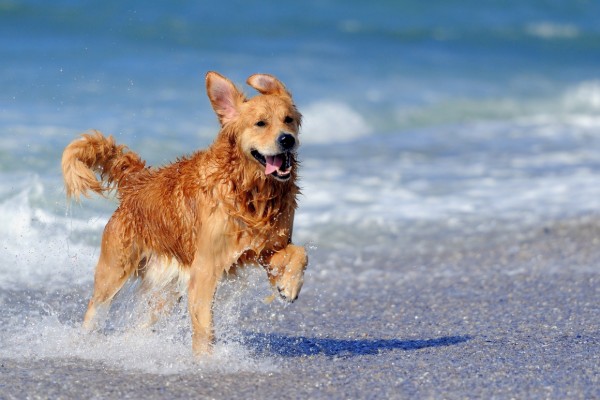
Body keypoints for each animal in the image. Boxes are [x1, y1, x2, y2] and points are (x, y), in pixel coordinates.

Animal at [62, 72, 308, 356]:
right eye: (260, 123)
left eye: (288, 120)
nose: (287, 139)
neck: (249, 190)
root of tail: (138, 182)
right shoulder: (206, 267)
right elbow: (204, 325)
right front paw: (205, 359)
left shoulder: (266, 248)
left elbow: (300, 253)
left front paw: (289, 286)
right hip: (114, 271)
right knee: (95, 308)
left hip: (167, 290)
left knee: (142, 324)